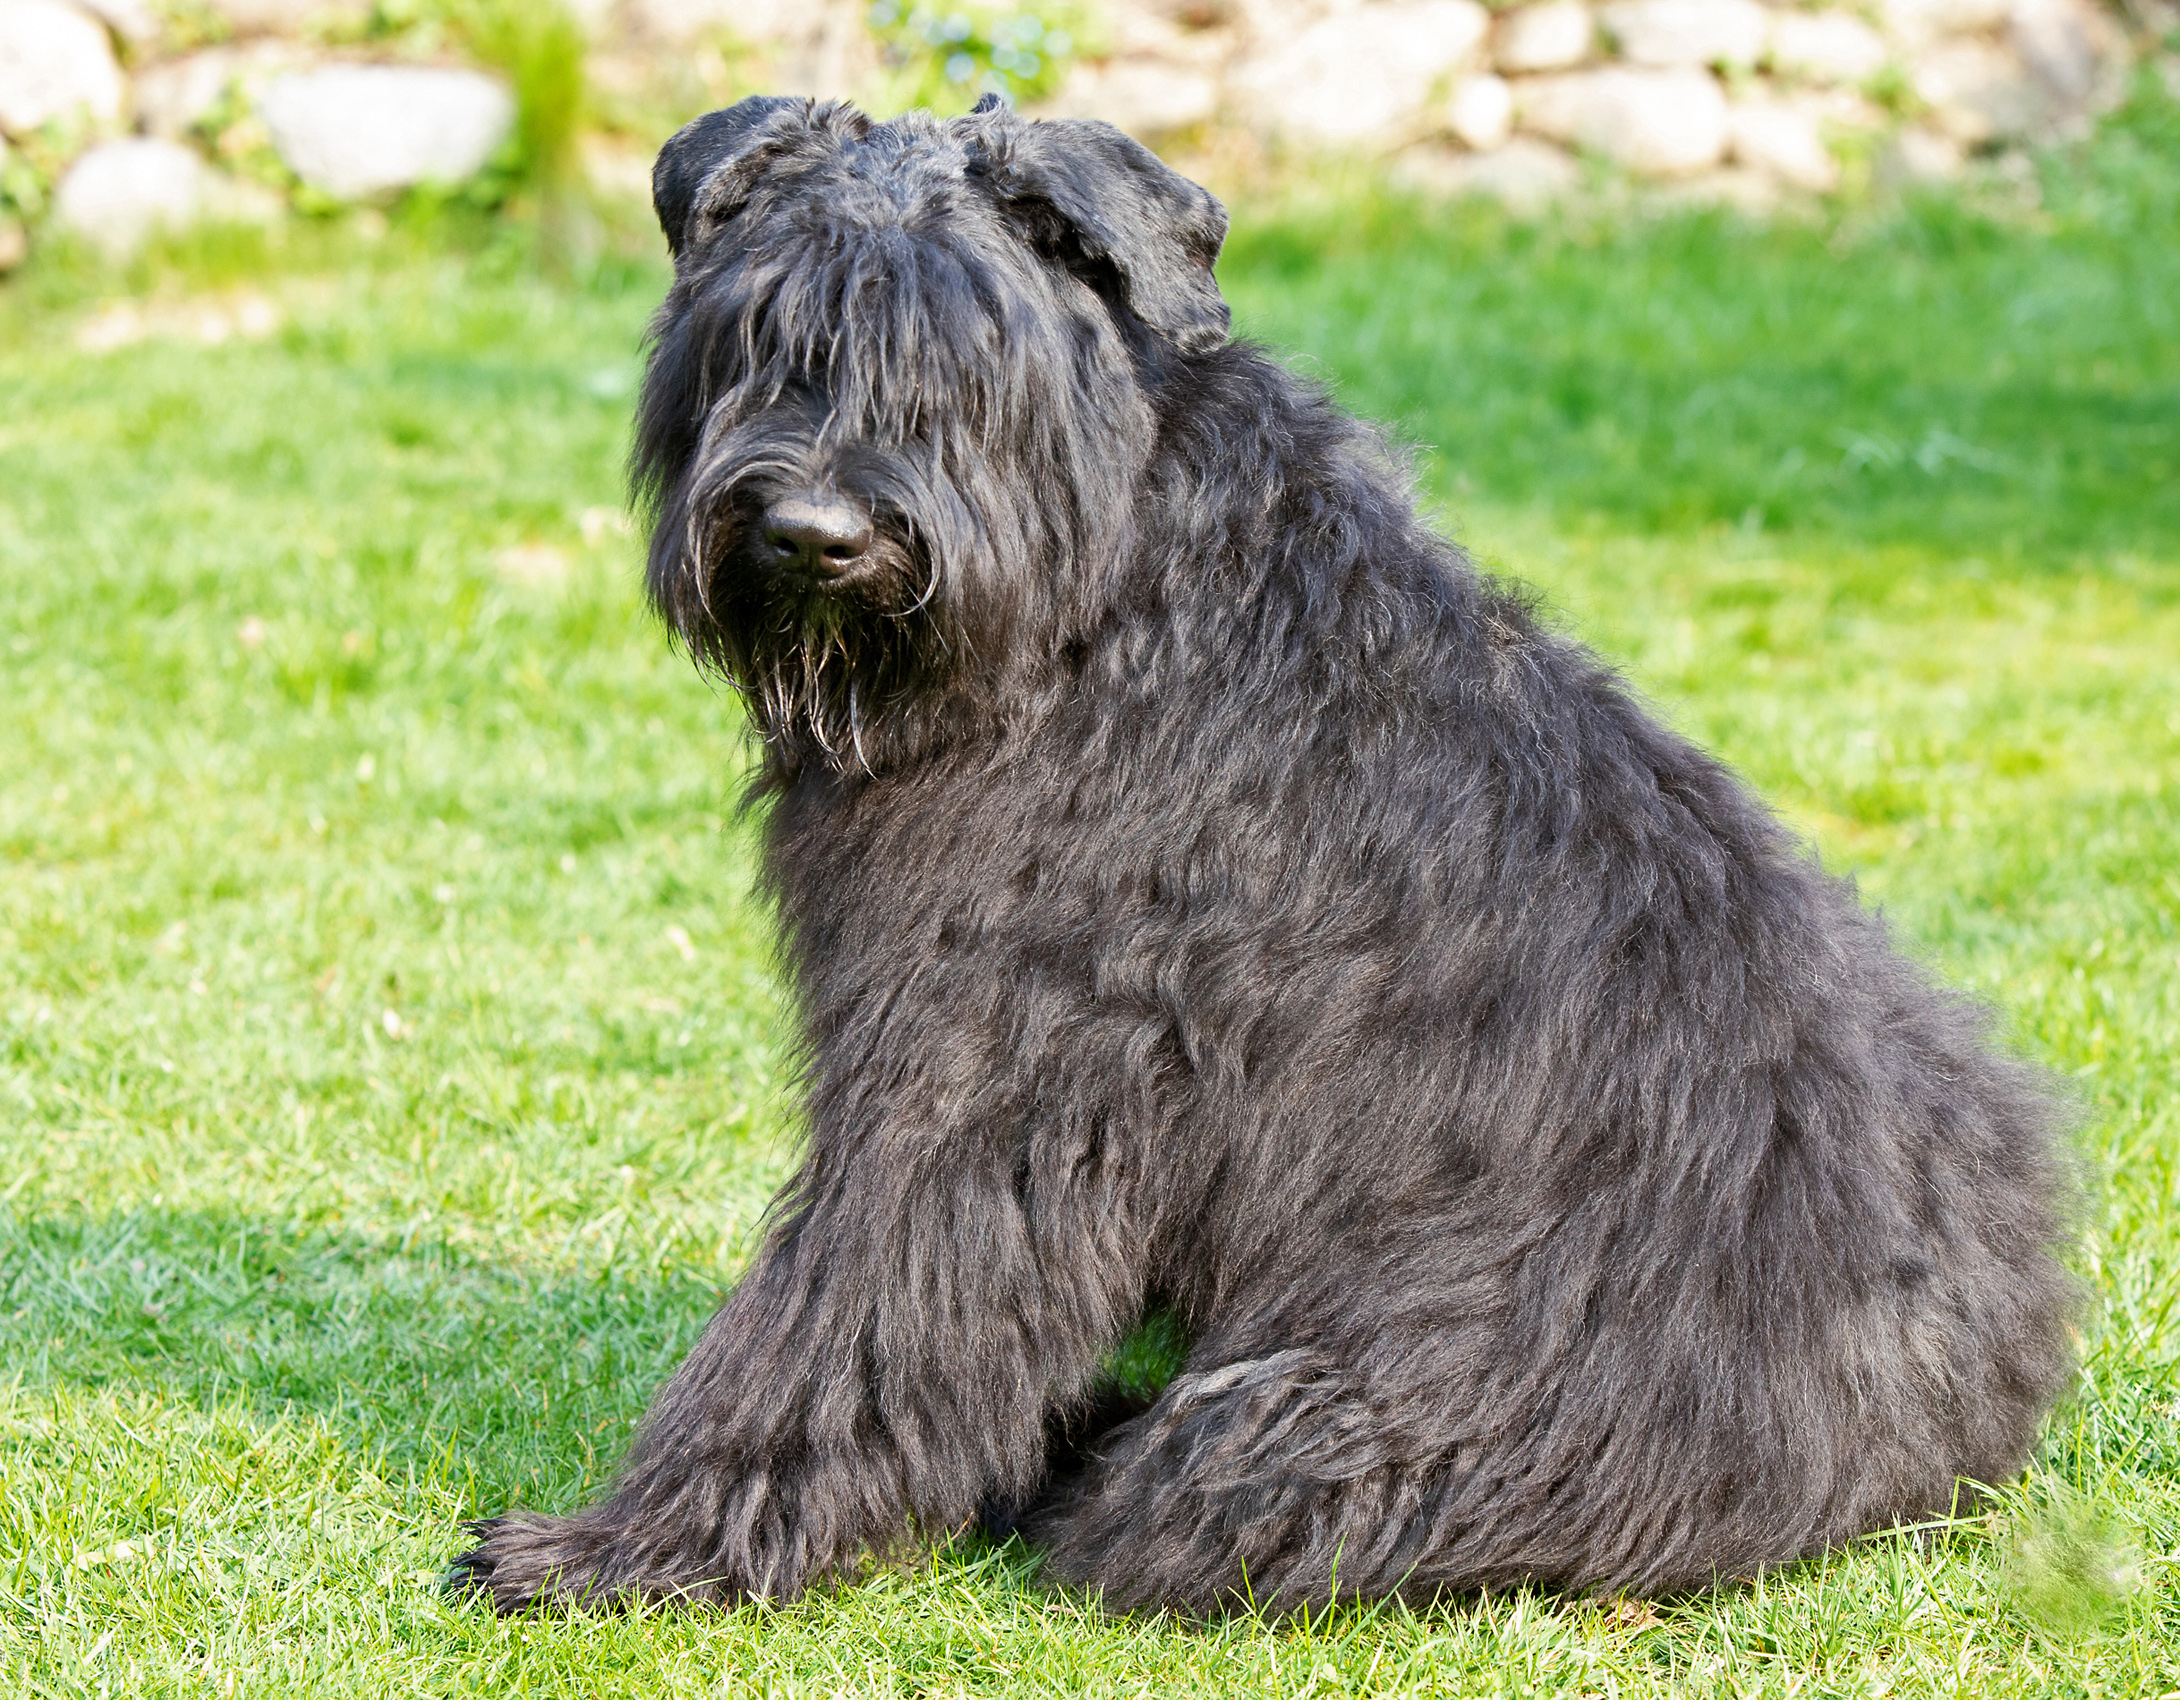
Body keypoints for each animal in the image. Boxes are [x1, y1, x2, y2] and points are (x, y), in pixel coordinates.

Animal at [446, 96, 2075, 1621]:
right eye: (757, 332)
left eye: (975, 357)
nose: (812, 532)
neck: (1103, 601)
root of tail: (1965, 1413)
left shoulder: (985, 1077)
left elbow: (839, 1322)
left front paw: (627, 1549)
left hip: (1308, 1435)